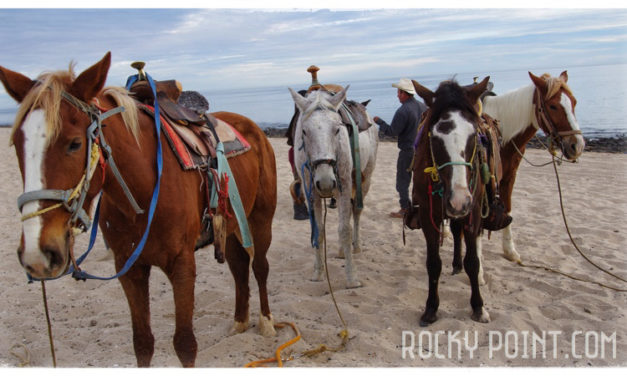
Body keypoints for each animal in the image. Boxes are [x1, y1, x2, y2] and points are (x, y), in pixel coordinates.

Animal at [0, 51, 278, 366]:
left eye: (74, 143)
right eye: (17, 145)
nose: (38, 254)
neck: (144, 194)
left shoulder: (182, 265)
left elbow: (185, 344)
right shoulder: (129, 268)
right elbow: (143, 343)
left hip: (260, 219)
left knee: (259, 267)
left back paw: (266, 322)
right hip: (229, 228)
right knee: (238, 267)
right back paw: (240, 321)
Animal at [288, 86, 378, 290]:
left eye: (337, 129)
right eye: (304, 131)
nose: (325, 182)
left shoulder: (344, 186)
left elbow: (344, 230)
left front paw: (351, 278)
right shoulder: (311, 193)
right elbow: (318, 231)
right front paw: (318, 272)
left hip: (364, 180)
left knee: (356, 213)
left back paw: (356, 246)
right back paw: (341, 251)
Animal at [412, 77, 496, 326]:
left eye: (473, 134)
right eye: (435, 137)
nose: (459, 201)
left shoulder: (473, 211)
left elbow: (473, 262)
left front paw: (478, 307)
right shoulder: (428, 215)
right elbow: (433, 263)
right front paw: (431, 308)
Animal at [484, 72, 588, 262]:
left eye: (574, 102)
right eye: (553, 106)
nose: (577, 146)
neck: (502, 134)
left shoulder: (509, 176)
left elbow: (507, 209)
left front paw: (510, 250)